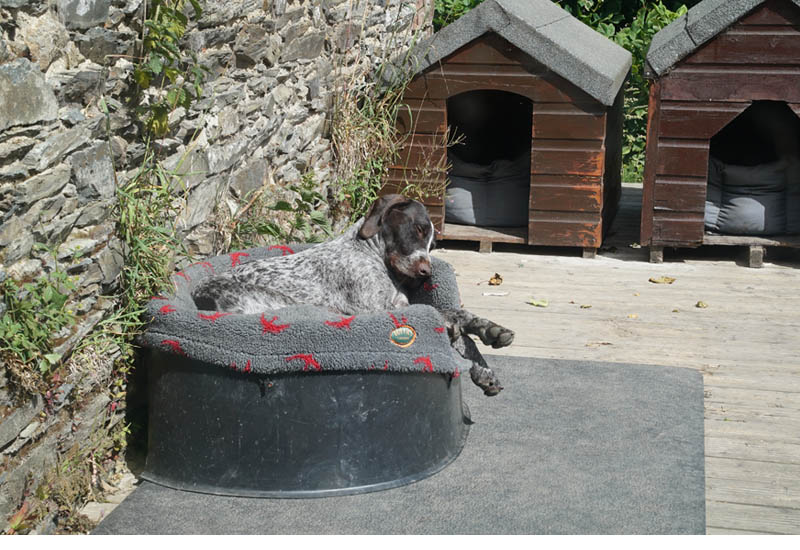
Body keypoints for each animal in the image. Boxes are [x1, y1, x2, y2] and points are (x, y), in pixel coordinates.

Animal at [192, 196, 512, 394]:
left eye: (432, 245)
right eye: (418, 229)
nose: (426, 272)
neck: (371, 254)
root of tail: (198, 296)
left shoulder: (399, 304)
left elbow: (462, 325)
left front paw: (487, 347)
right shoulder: (374, 309)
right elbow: (445, 314)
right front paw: (467, 330)